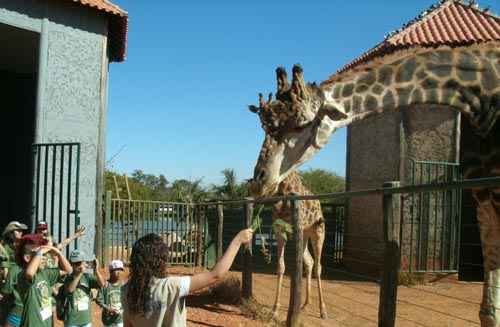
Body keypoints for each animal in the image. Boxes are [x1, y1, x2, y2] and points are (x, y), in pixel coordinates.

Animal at [270, 172, 328, 320]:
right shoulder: (279, 231)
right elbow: (281, 266)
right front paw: (275, 310)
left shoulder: (296, 229)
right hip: (305, 234)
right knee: (309, 261)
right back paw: (305, 304)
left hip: (318, 232)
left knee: (318, 266)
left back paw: (323, 310)